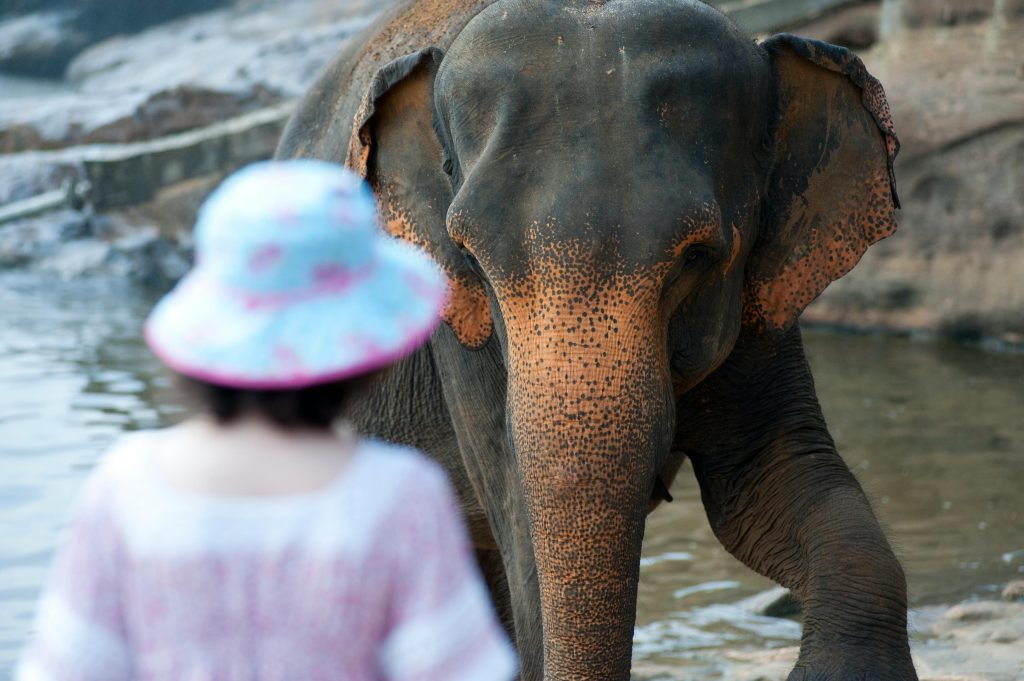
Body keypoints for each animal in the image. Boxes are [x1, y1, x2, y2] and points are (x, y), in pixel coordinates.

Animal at [276, 0, 915, 679]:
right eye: (471, 259)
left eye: (696, 256)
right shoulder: (459, 339)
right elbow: (520, 534)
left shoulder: (762, 303)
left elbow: (767, 479)